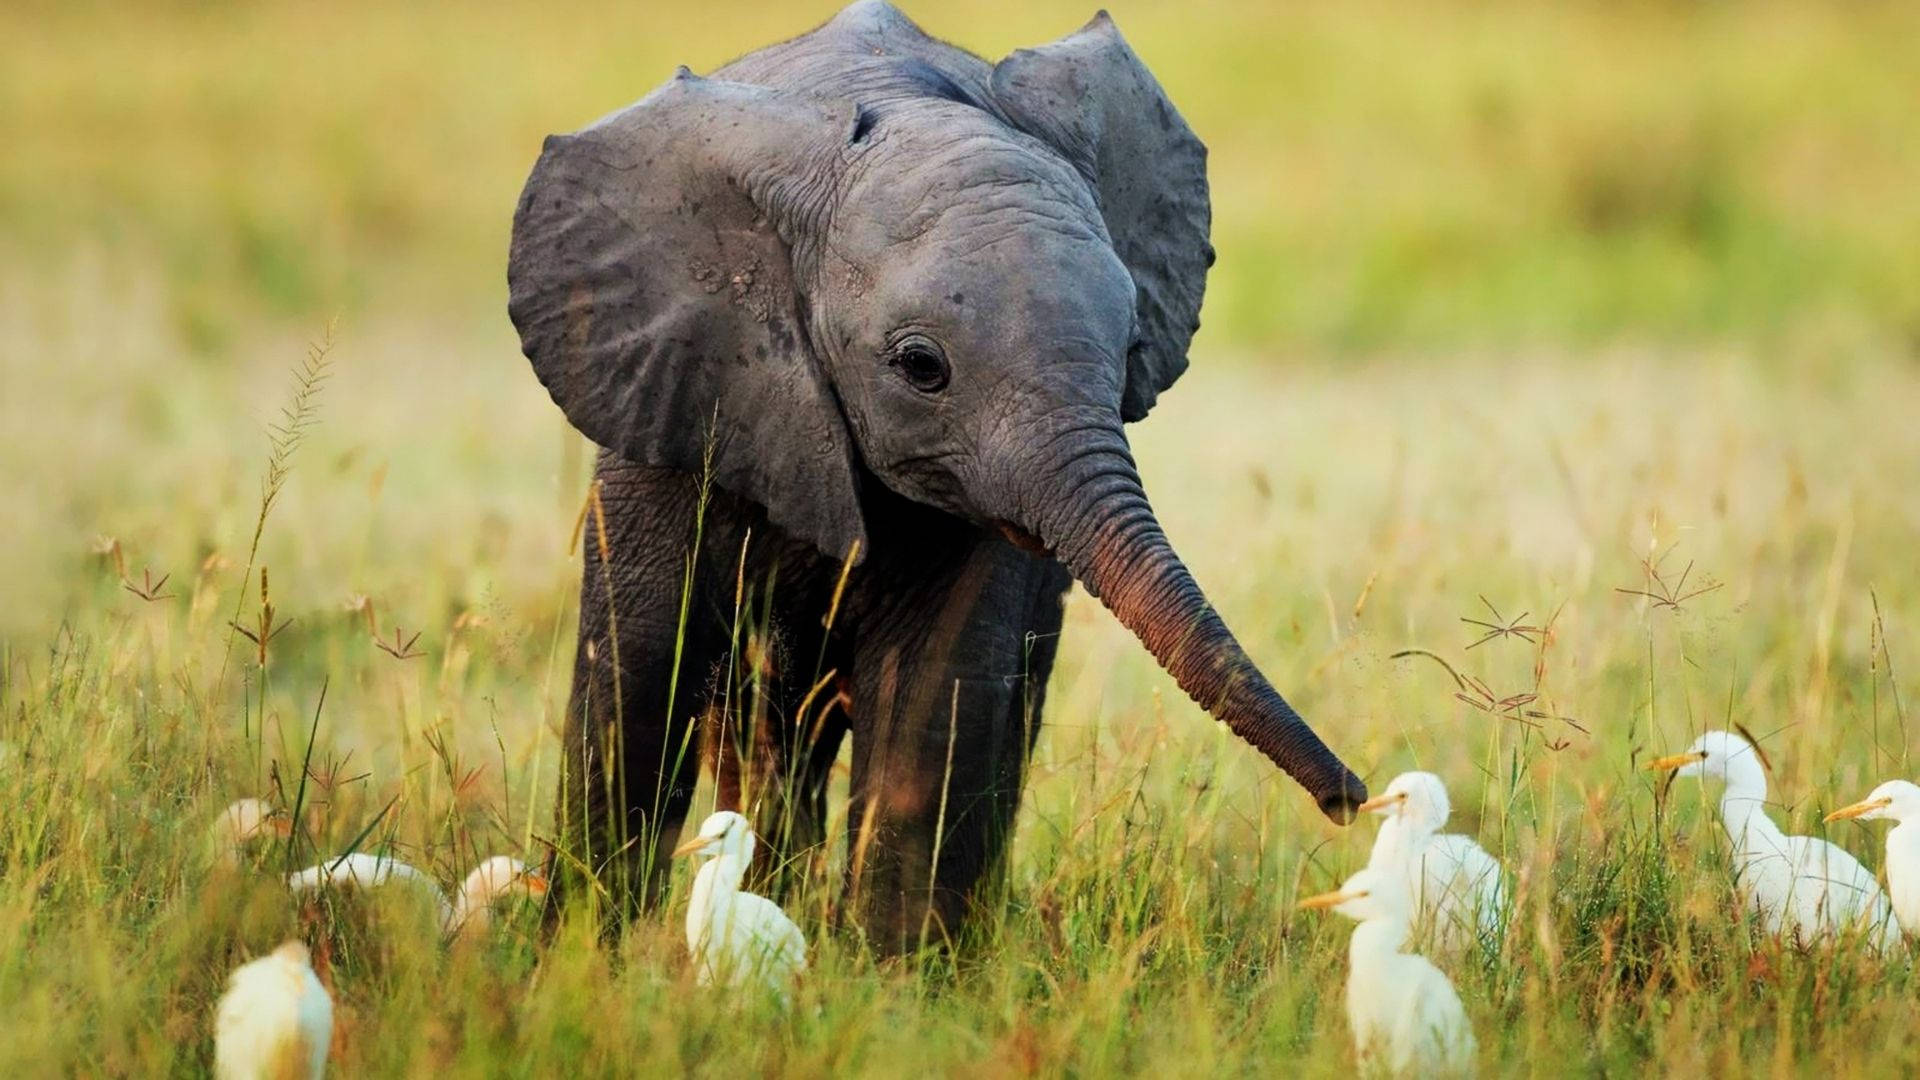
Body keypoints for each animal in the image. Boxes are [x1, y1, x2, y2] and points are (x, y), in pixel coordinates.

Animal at [507, 0, 1366, 952]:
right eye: (922, 367)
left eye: (1133, 347)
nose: (1350, 801)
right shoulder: (674, 391)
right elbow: (637, 676)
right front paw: (578, 958)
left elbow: (937, 694)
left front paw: (897, 978)